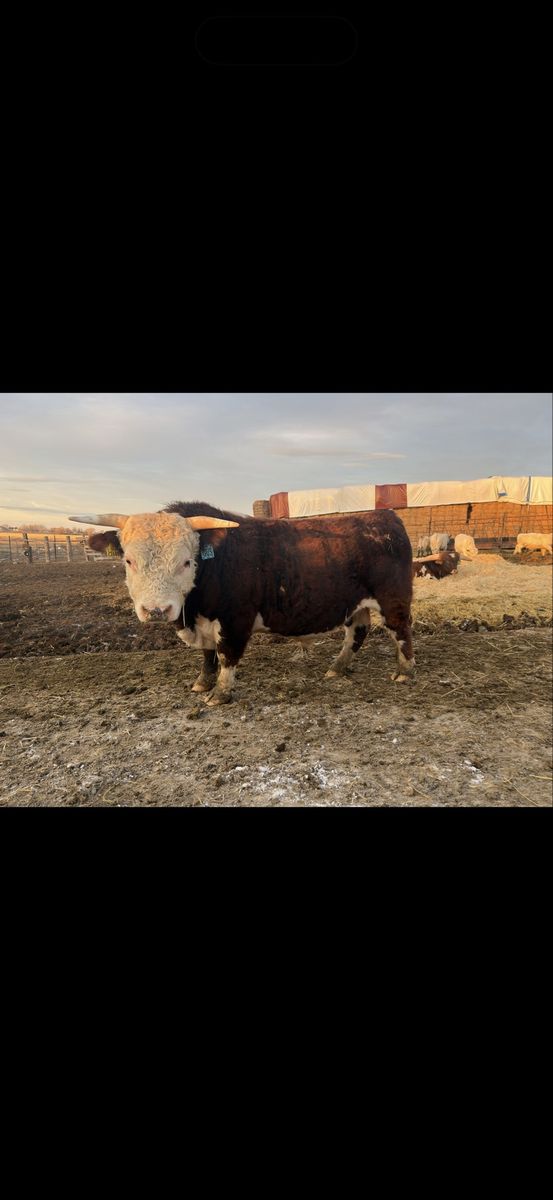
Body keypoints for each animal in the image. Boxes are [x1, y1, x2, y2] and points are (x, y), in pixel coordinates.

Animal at [69, 501, 416, 706]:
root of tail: (384, 516)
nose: (156, 610)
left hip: (393, 599)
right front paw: (202, 682)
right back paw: (337, 668)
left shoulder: (235, 619)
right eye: (128, 560)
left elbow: (226, 655)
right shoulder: (205, 623)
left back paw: (404, 672)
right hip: (355, 604)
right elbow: (208, 655)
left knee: (401, 631)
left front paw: (220, 693)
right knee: (357, 632)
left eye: (186, 562)